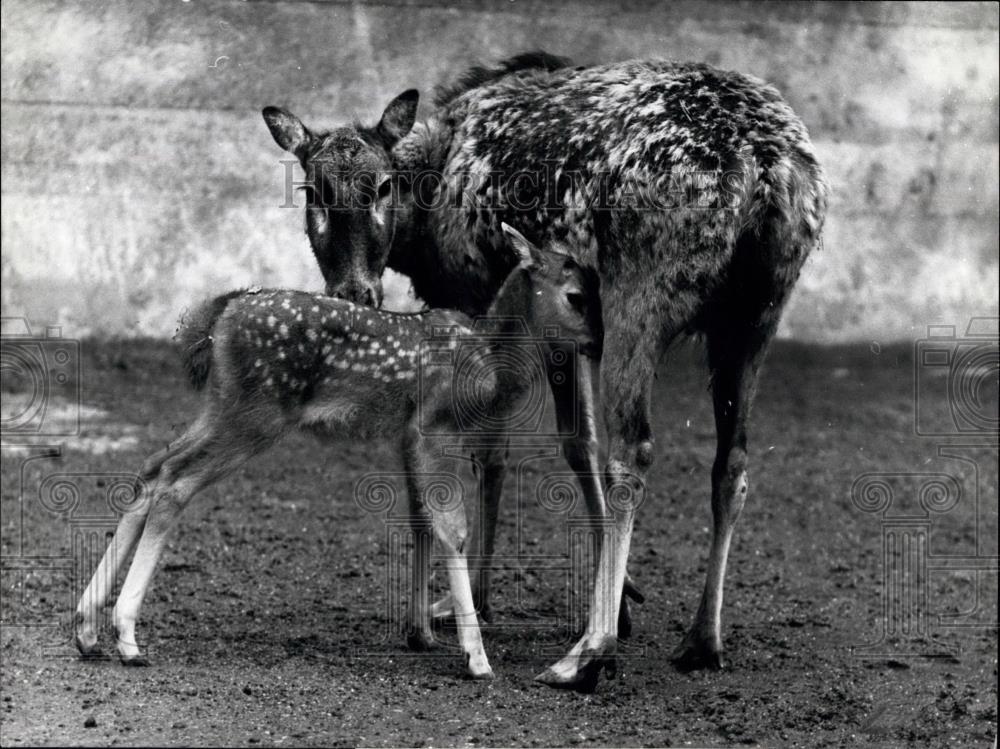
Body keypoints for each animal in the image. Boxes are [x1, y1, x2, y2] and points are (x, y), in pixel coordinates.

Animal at [74, 224, 600, 676]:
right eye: (575, 296)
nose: (596, 344)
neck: (492, 358)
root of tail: (221, 315)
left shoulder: (406, 437)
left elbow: (421, 521)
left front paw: (423, 634)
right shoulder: (435, 427)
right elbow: (453, 528)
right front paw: (476, 657)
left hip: (224, 406)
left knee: (154, 467)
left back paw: (87, 629)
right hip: (256, 415)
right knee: (175, 484)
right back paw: (126, 637)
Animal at [264, 52, 828, 688]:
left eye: (383, 185)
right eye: (312, 189)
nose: (354, 292)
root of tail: (766, 169)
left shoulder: (495, 302)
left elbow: (506, 452)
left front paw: (481, 601)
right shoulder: (566, 327)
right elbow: (575, 441)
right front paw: (622, 593)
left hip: (642, 295)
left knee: (634, 450)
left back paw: (588, 652)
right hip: (758, 314)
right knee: (731, 461)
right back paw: (701, 637)